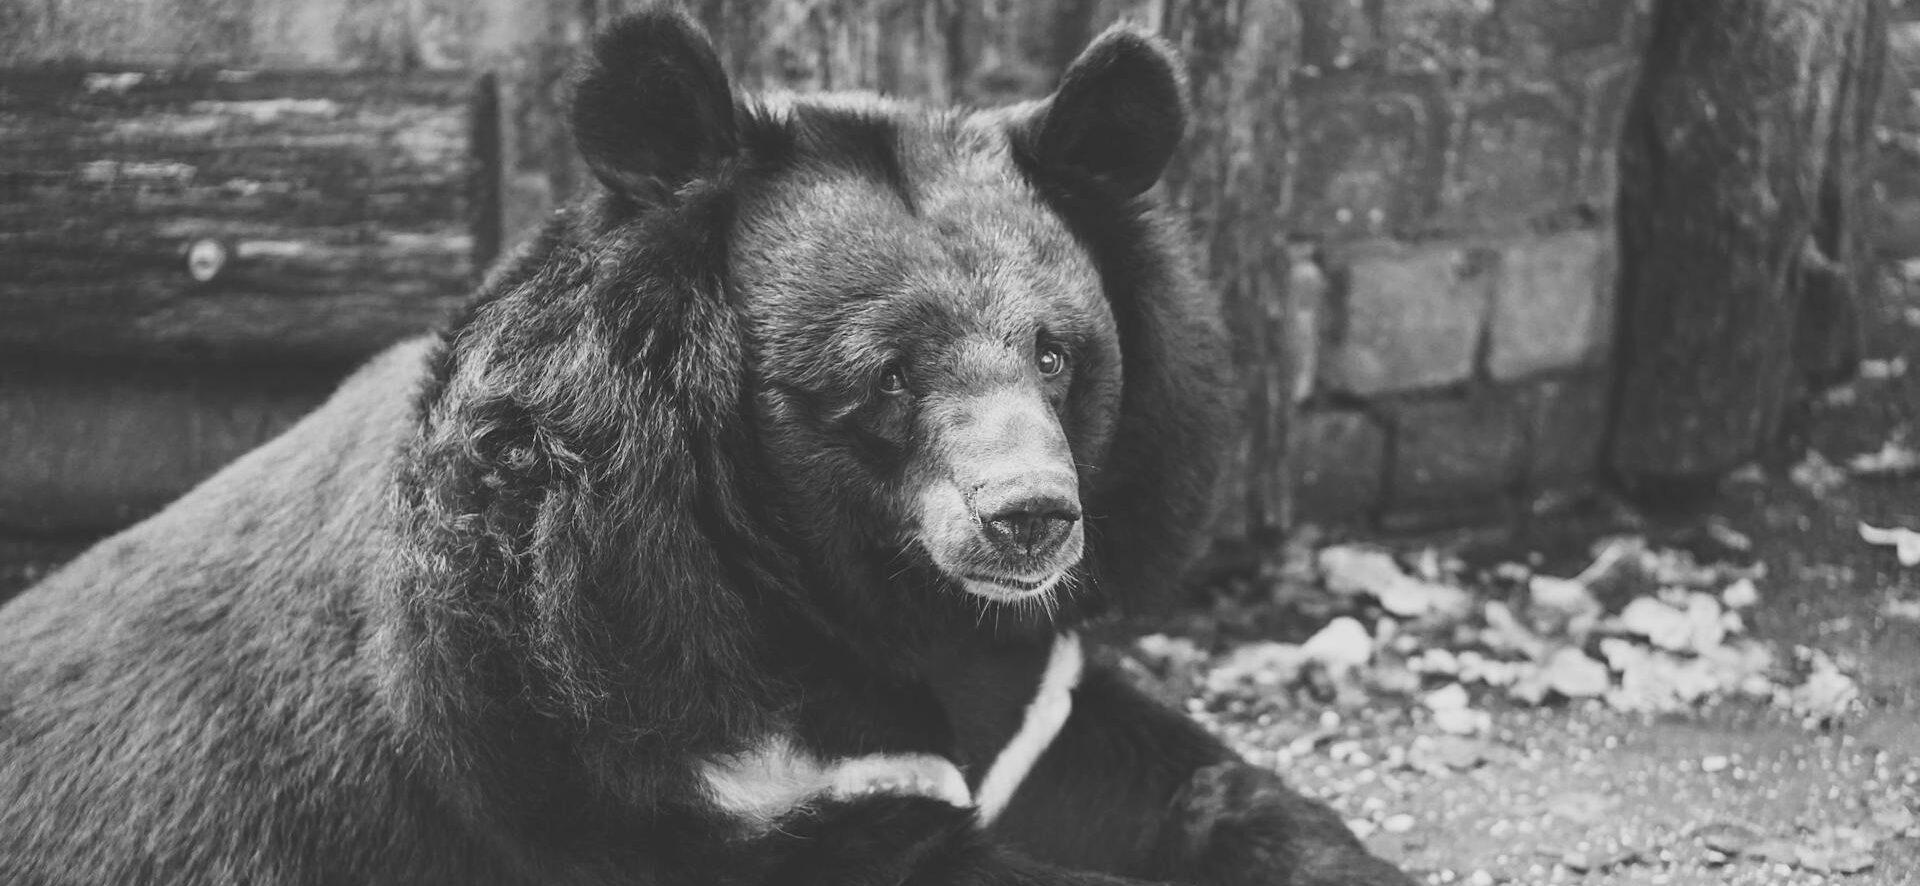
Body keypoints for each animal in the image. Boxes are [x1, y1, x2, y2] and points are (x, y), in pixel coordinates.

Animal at [0, 6, 1413, 884]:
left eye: (1059, 354)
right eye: (887, 376)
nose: (1031, 518)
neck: (861, 595)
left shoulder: (1035, 694)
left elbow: (1191, 779)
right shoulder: (628, 743)